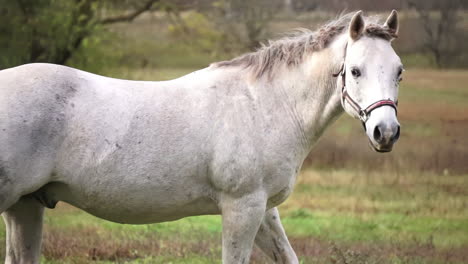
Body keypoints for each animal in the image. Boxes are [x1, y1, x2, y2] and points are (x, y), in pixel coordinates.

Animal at [0, 10, 402, 264]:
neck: (265, 104)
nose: (386, 132)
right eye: (355, 70)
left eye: (399, 71)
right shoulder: (242, 208)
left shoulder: (264, 209)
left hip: (25, 206)